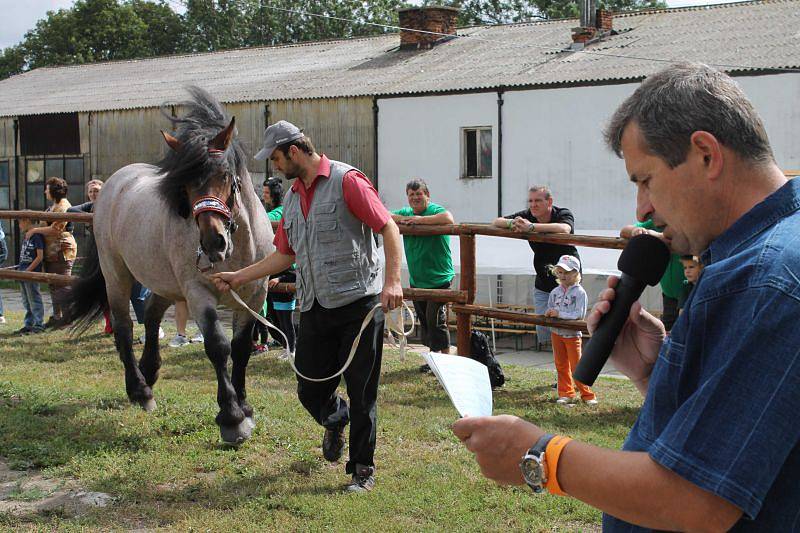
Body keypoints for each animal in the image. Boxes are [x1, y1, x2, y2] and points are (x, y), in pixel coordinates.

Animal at [69, 88, 276, 444]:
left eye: (225, 176)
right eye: (184, 185)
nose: (213, 243)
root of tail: (112, 185)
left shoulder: (253, 294)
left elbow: (241, 349)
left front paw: (245, 407)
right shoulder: (198, 293)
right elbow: (218, 347)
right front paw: (231, 417)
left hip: (164, 282)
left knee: (151, 315)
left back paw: (149, 372)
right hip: (117, 276)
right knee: (124, 326)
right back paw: (140, 390)